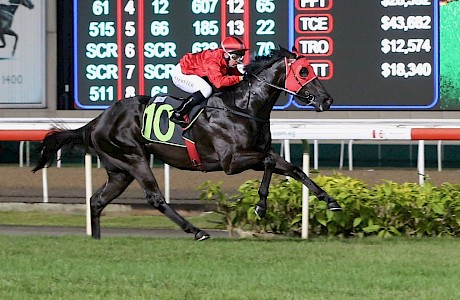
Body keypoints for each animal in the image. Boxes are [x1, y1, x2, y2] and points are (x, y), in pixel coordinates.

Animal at [32, 47, 342, 240]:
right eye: (304, 71)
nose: (327, 99)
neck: (243, 106)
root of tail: (98, 120)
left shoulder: (258, 151)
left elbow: (293, 169)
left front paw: (330, 201)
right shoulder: (231, 161)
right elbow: (268, 163)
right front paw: (261, 206)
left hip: (119, 171)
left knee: (97, 201)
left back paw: (96, 240)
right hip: (134, 159)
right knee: (155, 198)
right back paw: (196, 231)